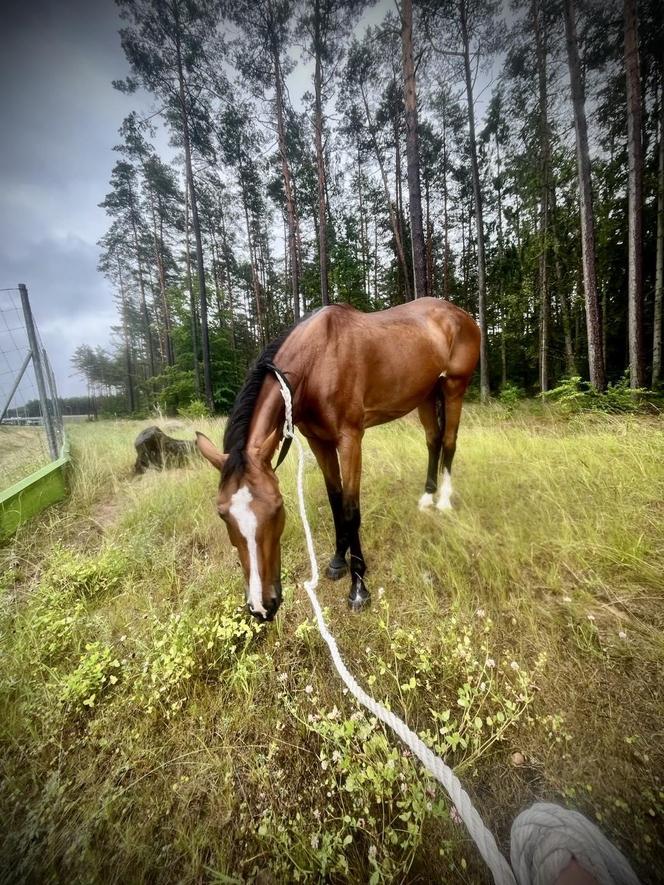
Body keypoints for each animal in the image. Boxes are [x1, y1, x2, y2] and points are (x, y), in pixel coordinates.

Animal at [195, 296, 480, 620]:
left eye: (277, 507)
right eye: (222, 513)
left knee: (449, 442)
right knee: (433, 441)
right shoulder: (319, 441)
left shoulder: (350, 440)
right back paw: (427, 498)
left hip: (454, 387)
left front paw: (358, 587)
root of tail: (459, 314)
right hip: (427, 394)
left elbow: (350, 508)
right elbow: (335, 500)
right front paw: (337, 561)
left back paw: (443, 501)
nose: (262, 606)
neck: (316, 361)